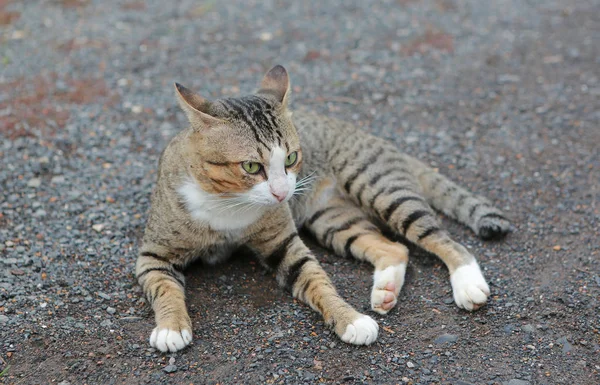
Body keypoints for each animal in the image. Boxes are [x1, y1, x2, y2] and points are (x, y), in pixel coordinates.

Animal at [137, 63, 510, 352]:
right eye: (251, 167)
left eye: (290, 158)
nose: (282, 193)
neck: (228, 203)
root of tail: (376, 138)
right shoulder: (152, 254)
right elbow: (164, 288)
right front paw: (171, 327)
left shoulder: (283, 243)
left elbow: (317, 281)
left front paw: (350, 319)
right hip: (331, 221)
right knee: (395, 247)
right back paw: (386, 289)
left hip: (379, 187)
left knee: (443, 239)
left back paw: (467, 283)